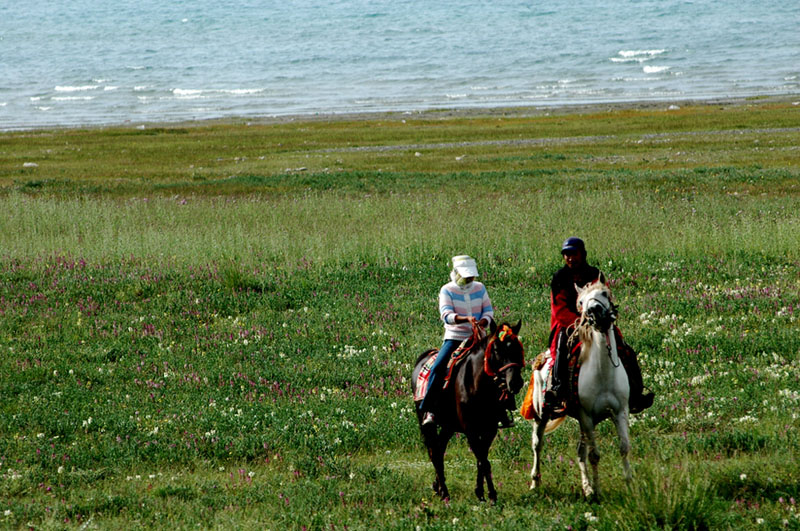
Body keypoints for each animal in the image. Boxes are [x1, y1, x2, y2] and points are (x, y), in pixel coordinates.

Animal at [412, 320, 524, 502]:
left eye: (517, 348)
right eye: (496, 349)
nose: (515, 382)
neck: (477, 382)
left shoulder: (490, 429)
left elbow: (482, 459)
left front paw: (481, 493)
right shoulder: (470, 429)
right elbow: (483, 460)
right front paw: (491, 495)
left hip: (448, 426)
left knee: (439, 449)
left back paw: (438, 487)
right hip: (426, 422)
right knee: (434, 452)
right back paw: (445, 493)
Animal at [528, 280, 636, 500]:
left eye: (605, 293)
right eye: (581, 301)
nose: (593, 311)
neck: (603, 373)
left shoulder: (620, 411)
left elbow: (624, 447)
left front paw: (629, 485)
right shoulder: (586, 415)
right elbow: (595, 455)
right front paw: (599, 491)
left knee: (580, 451)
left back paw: (586, 488)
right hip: (542, 414)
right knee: (537, 444)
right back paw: (535, 482)